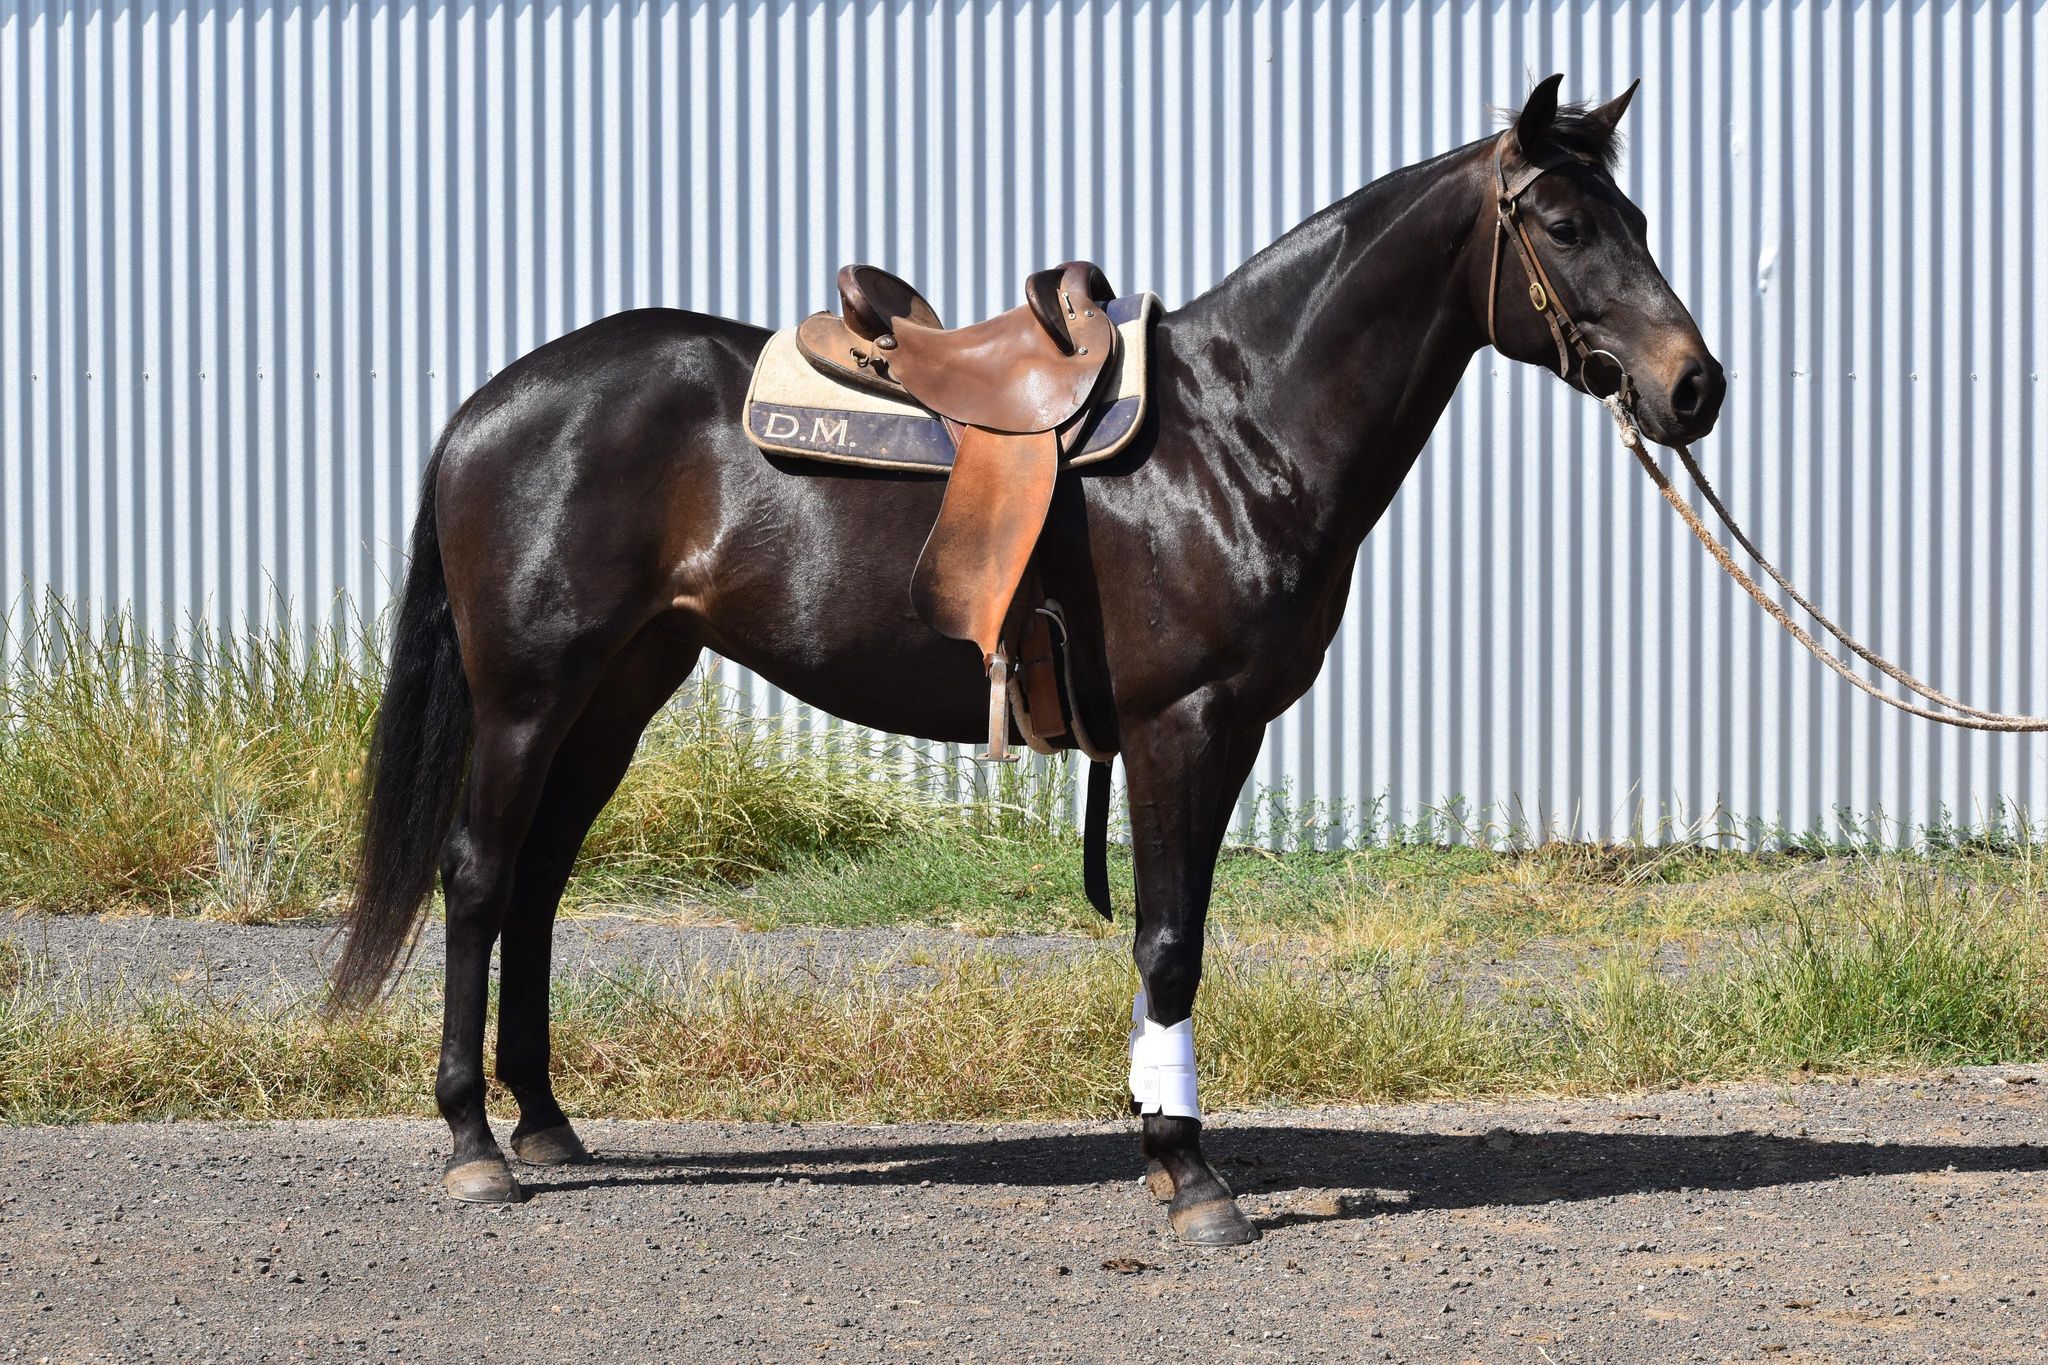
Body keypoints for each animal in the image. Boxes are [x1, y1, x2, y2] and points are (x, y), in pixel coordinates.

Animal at [332, 74, 1724, 1247]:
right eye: (1562, 224)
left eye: (1639, 217)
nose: (1694, 388)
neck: (1237, 431)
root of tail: (494, 400)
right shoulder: (1180, 723)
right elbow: (1166, 942)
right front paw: (1191, 1176)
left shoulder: (1227, 730)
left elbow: (1180, 932)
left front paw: (1162, 1143)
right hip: (529, 693)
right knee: (479, 877)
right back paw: (475, 1144)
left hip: (620, 689)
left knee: (539, 885)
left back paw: (546, 1124)